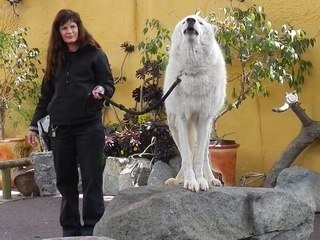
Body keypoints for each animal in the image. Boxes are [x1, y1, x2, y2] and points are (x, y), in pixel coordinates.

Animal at [164, 14, 226, 191]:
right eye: (185, 21)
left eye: (200, 22)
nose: (191, 19)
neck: (193, 70)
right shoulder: (183, 119)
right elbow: (186, 156)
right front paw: (190, 182)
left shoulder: (204, 119)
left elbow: (197, 158)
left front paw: (202, 181)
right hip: (174, 126)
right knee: (186, 154)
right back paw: (178, 180)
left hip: (207, 127)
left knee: (204, 154)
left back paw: (211, 179)